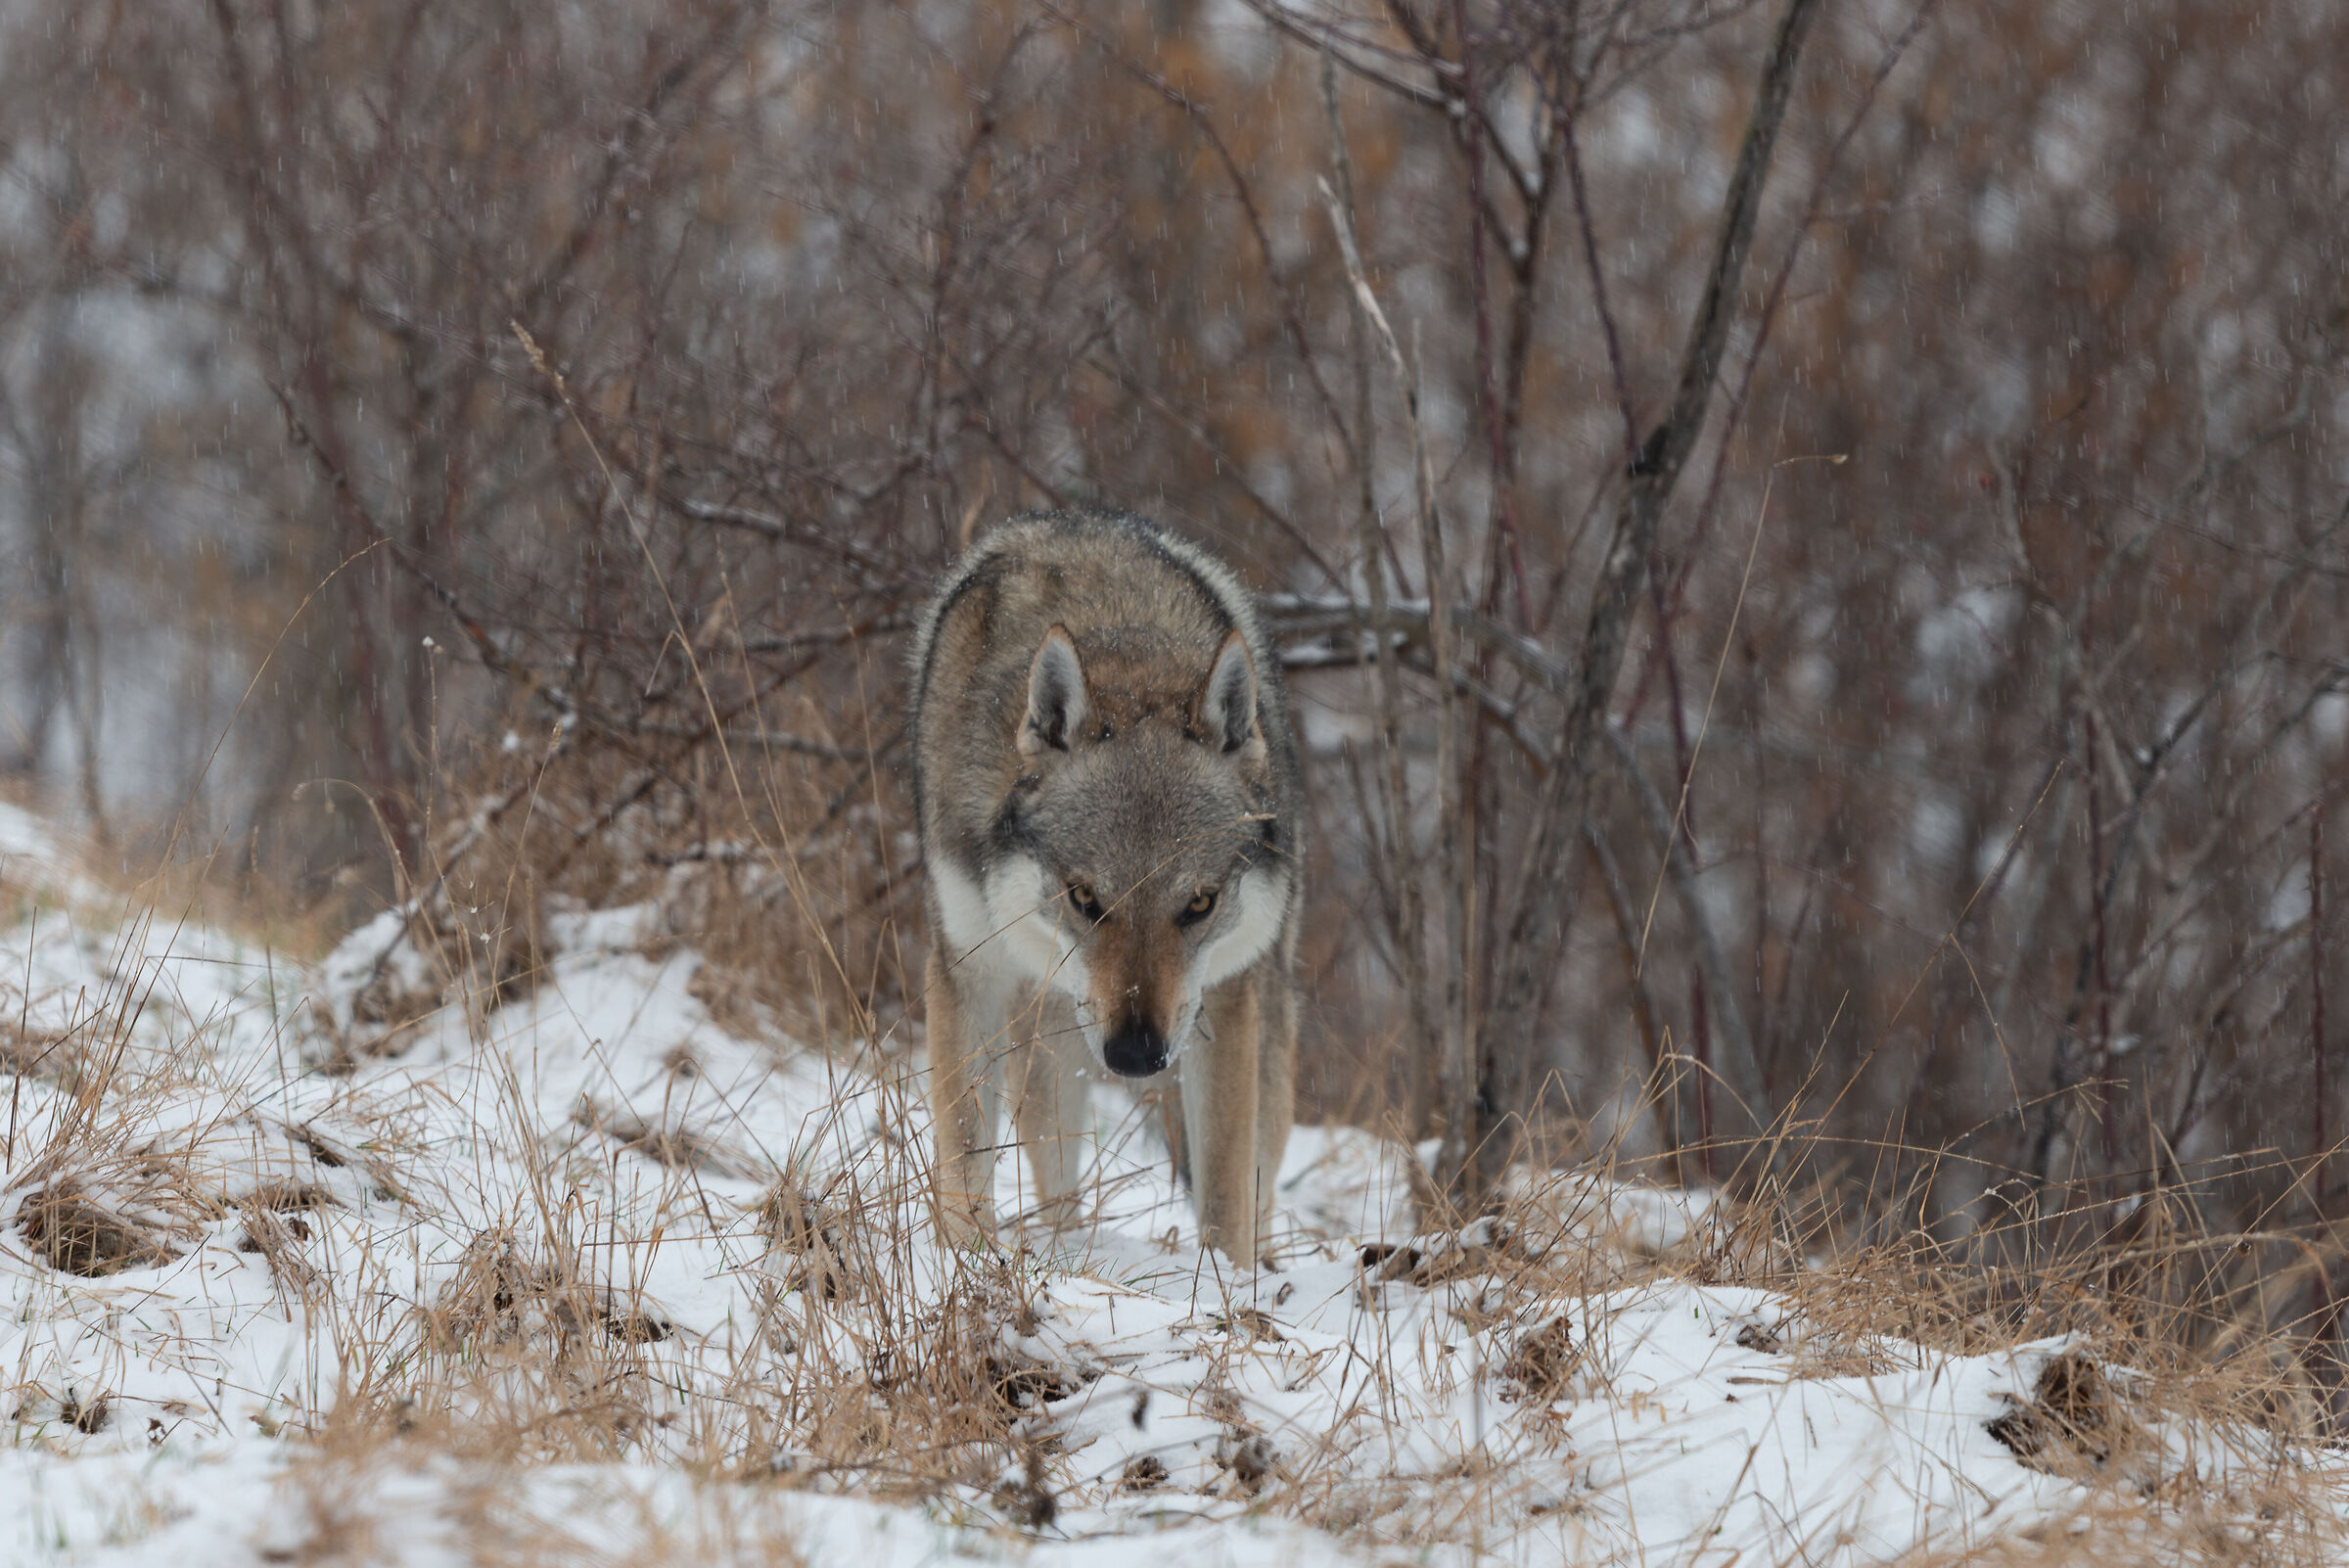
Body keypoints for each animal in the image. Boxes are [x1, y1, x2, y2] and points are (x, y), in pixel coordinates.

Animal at [910, 506, 1301, 1263]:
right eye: (1086, 899)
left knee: (1262, 1176)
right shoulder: (967, 968)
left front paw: (1225, 1279)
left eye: (1199, 903)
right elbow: (965, 1154)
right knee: (1055, 1168)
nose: (1136, 1056)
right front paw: (966, 1263)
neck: (1127, 659)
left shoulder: (1226, 993)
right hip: (1051, 1036)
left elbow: (1224, 1189)